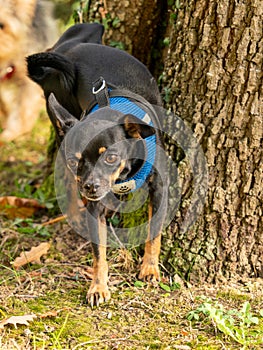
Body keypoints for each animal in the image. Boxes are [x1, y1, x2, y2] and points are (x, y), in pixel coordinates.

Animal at [26, 22, 167, 306]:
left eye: (110, 157)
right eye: (75, 160)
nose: (90, 187)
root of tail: (67, 53)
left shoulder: (159, 190)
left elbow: (154, 232)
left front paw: (150, 268)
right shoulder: (96, 205)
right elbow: (98, 252)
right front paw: (98, 287)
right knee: (67, 183)